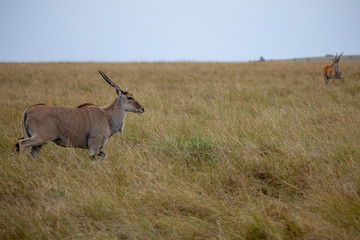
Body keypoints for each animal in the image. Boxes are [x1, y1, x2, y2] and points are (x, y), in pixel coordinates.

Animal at [15, 70, 145, 159]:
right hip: (41, 138)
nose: (142, 109)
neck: (107, 116)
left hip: (38, 143)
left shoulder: (98, 148)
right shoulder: (94, 146)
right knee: (21, 143)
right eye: (129, 97)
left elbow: (104, 155)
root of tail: (29, 109)